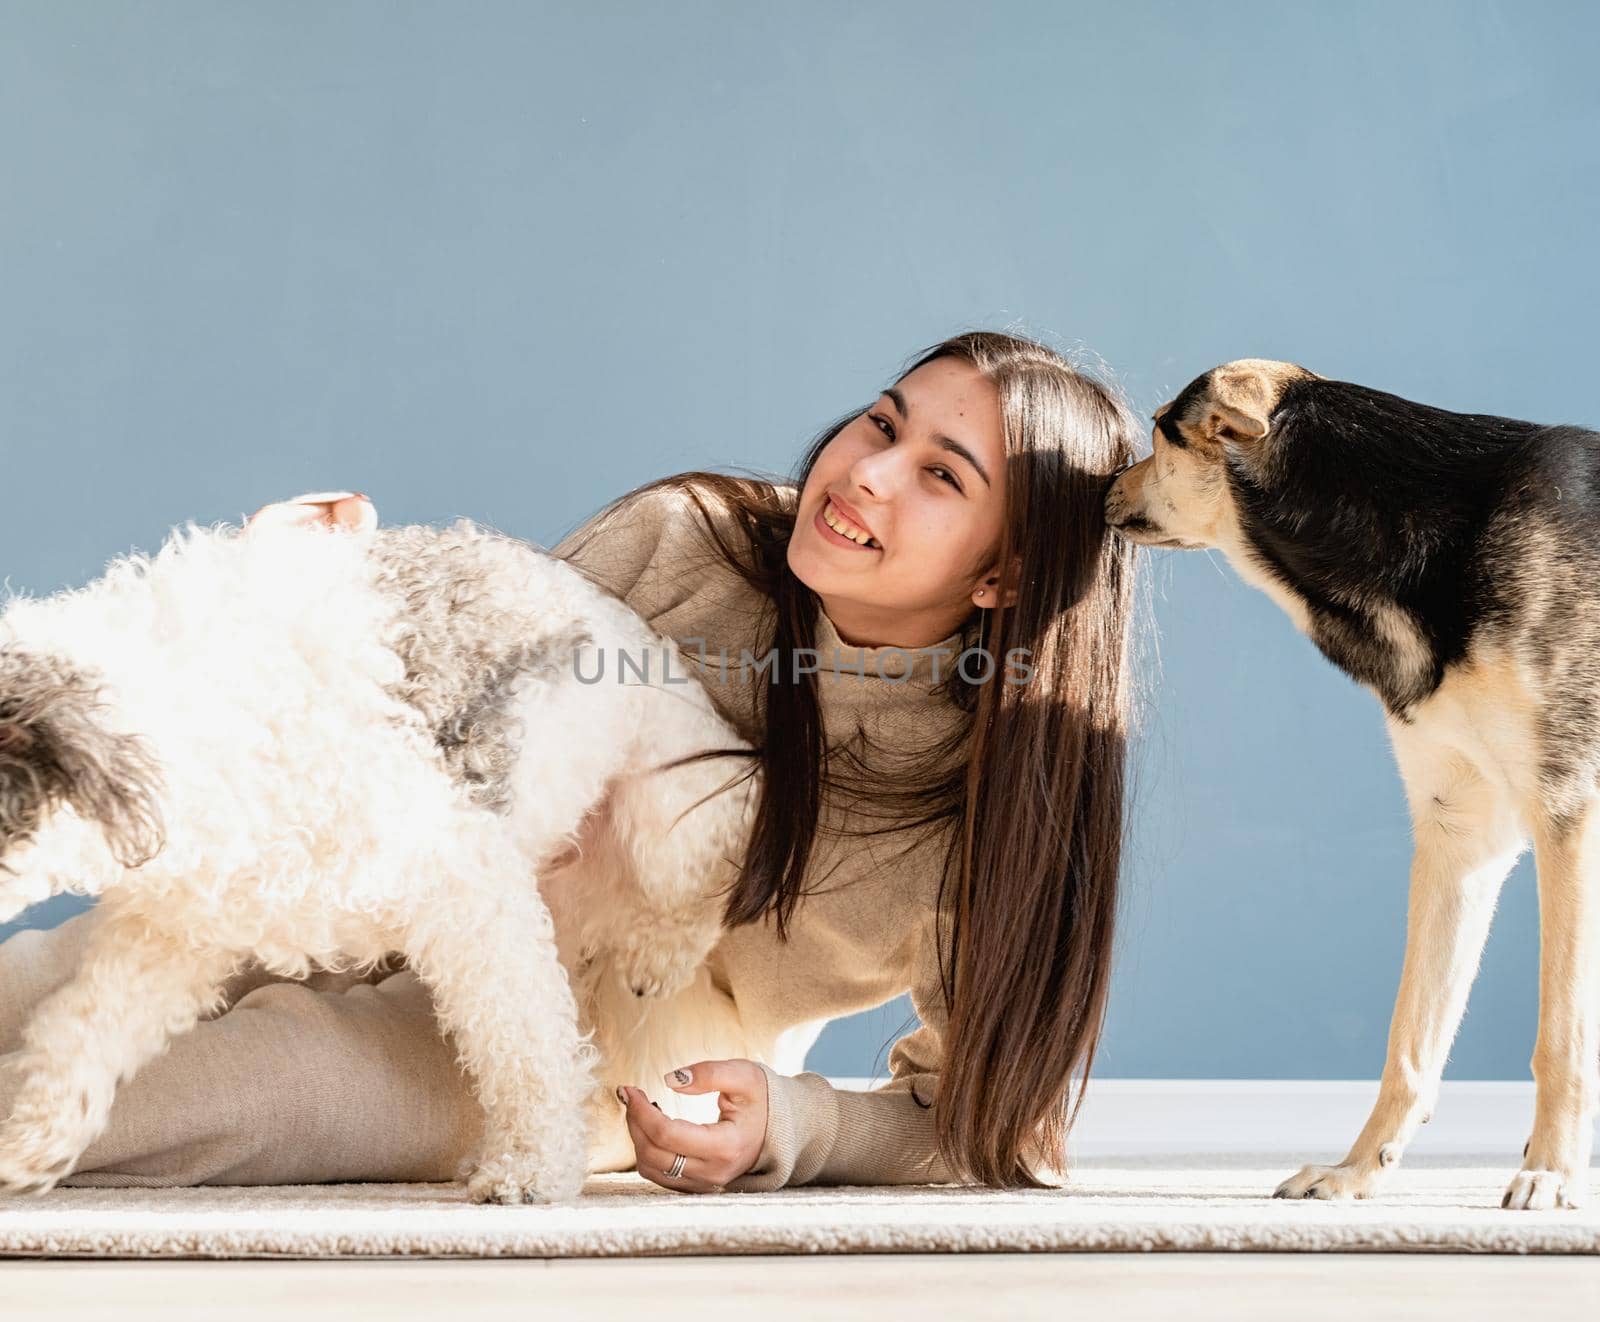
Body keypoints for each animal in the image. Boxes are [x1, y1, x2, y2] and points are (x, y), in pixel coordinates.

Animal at [1107, 358, 1600, 1203]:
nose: (1104, 485)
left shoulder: (1569, 815)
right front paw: (1355, 1172)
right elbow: (1412, 1038)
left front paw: (1551, 1174)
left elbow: (1561, 1033)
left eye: (1161, 434)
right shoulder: (1460, 834)